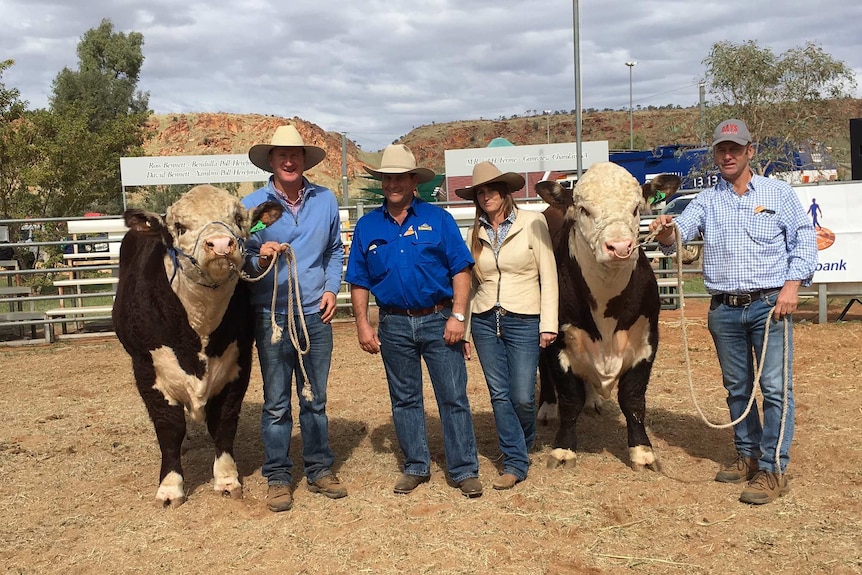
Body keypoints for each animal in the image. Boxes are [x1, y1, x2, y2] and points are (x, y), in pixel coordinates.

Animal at [114, 187, 284, 506]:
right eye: (179, 227)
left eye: (238, 218)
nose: (220, 243)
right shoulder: (145, 367)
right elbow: (169, 426)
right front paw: (170, 487)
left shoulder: (238, 362)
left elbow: (224, 421)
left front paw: (227, 479)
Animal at [540, 162, 660, 472]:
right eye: (584, 209)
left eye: (636, 208)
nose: (619, 246)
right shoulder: (558, 342)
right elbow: (570, 398)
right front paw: (563, 450)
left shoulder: (647, 340)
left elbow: (633, 398)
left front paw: (642, 451)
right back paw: (546, 407)